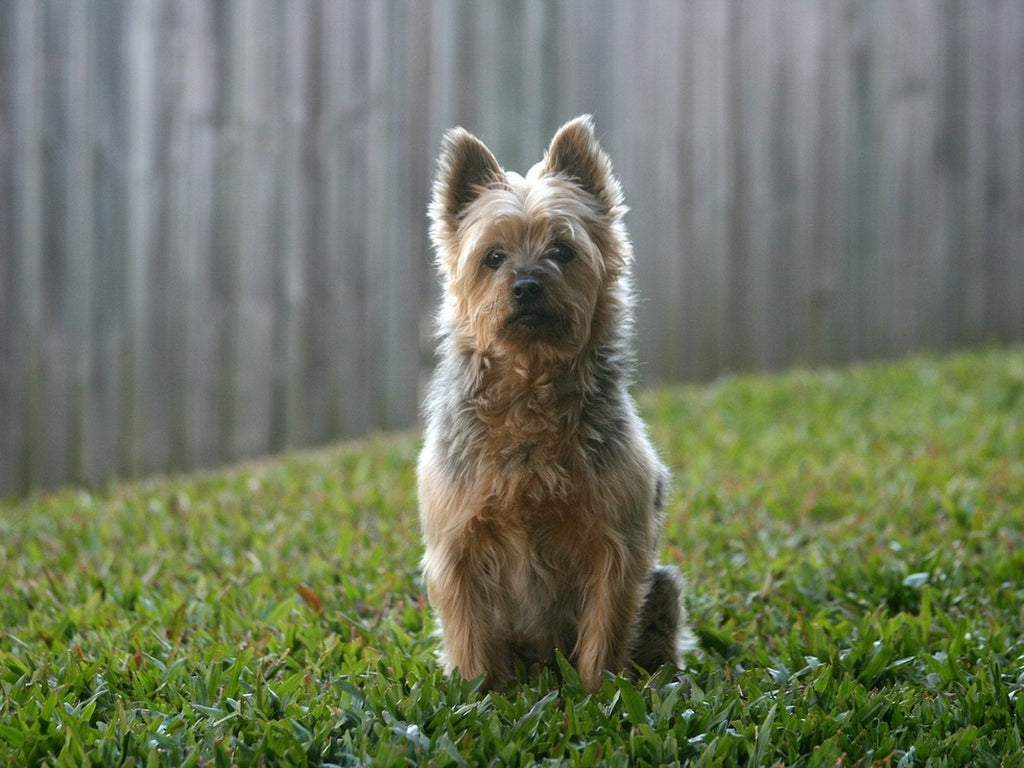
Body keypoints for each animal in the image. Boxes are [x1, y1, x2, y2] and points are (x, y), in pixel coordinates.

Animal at [415, 115, 688, 696]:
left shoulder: (617, 545)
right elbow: (468, 631)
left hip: (664, 587)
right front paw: (478, 695)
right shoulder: (457, 546)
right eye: (493, 257)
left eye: (563, 250)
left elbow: (606, 623)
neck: (530, 386)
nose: (526, 285)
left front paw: (599, 693)